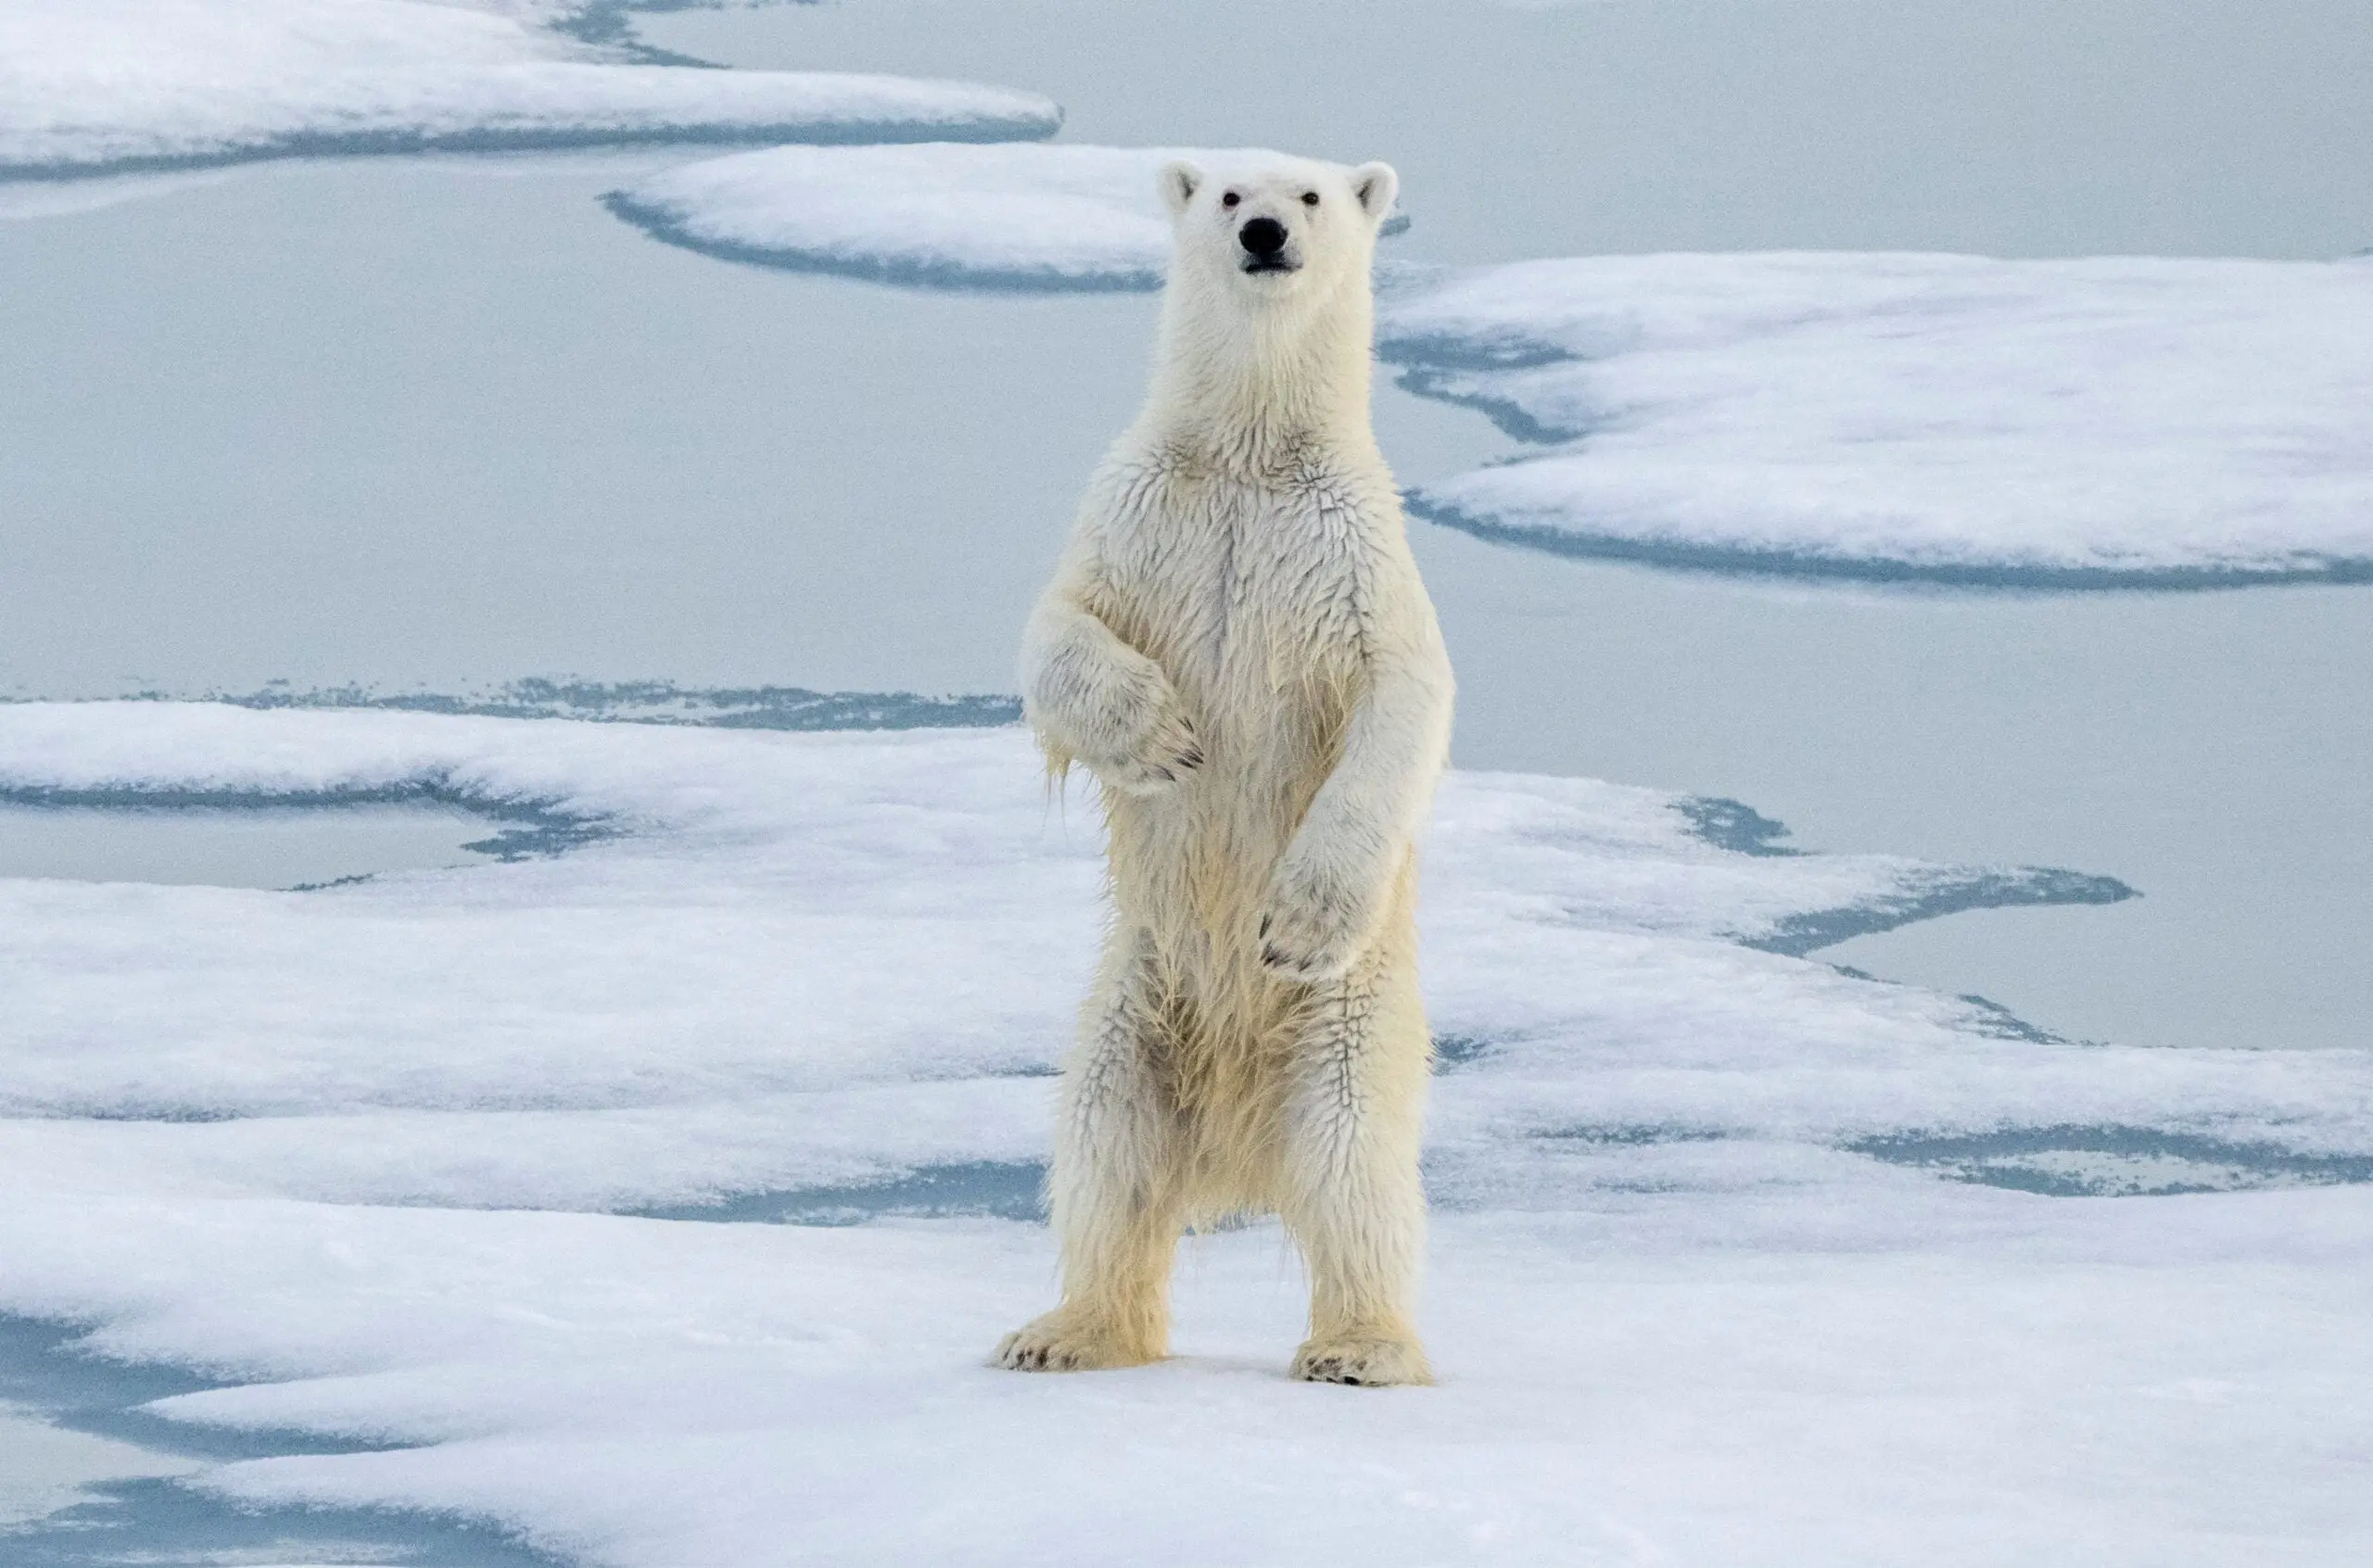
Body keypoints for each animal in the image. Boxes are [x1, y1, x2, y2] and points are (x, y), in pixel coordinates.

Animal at [992, 155, 1452, 1385]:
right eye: (1231, 192)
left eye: (1314, 197)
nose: (1261, 234)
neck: (1248, 455)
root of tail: (1236, 1151)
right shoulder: (1137, 512)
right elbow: (1056, 631)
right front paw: (1161, 736)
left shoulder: (1352, 555)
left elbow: (1402, 702)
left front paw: (1291, 920)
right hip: (1132, 1004)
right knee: (1105, 1151)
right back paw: (1066, 1330)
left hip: (1346, 1029)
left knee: (1353, 1169)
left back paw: (1359, 1348)